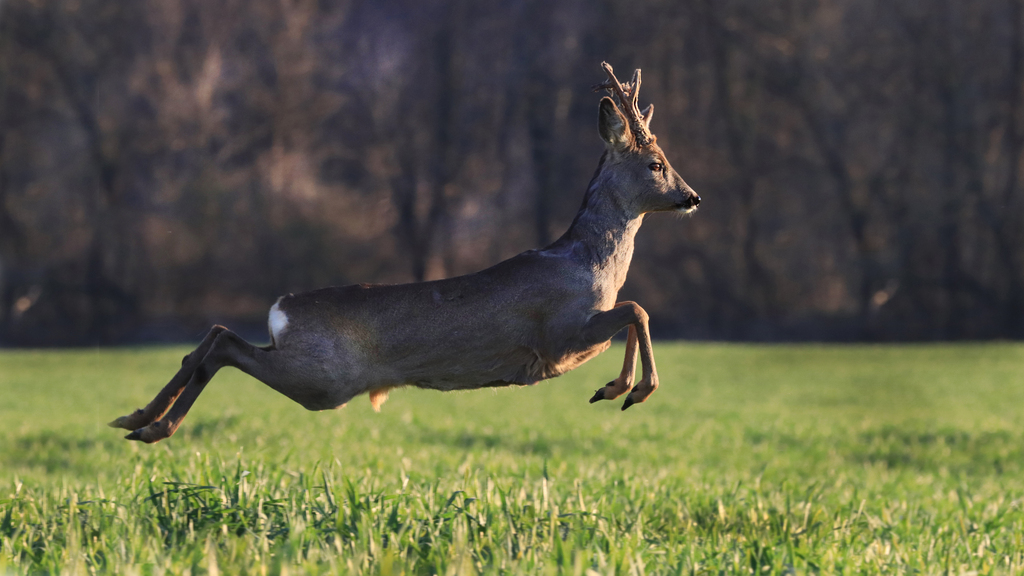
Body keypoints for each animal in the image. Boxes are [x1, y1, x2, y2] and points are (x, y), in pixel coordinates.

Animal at [112, 61, 704, 438]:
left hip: (311, 371)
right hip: (323, 378)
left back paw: (136, 419)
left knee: (212, 337)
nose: (692, 196)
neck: (589, 263)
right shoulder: (559, 336)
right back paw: (152, 427)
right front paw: (632, 389)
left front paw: (615, 387)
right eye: (656, 164)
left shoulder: (579, 336)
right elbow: (637, 308)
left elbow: (631, 313)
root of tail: (282, 309)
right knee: (225, 346)